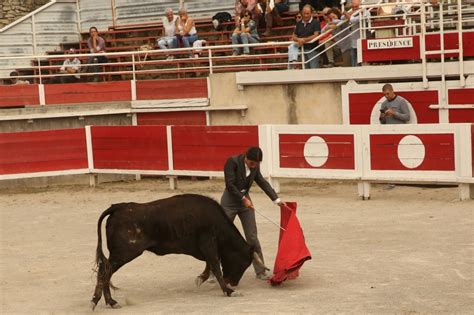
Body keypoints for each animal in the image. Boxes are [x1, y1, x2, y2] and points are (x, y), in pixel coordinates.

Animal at [91, 194, 268, 310]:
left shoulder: (207, 246)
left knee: (105, 271)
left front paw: (201, 278)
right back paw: (105, 301)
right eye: (244, 262)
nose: (232, 282)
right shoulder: (209, 243)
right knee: (105, 270)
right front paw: (229, 291)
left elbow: (210, 264)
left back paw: (108, 301)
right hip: (124, 253)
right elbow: (216, 266)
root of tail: (118, 206)